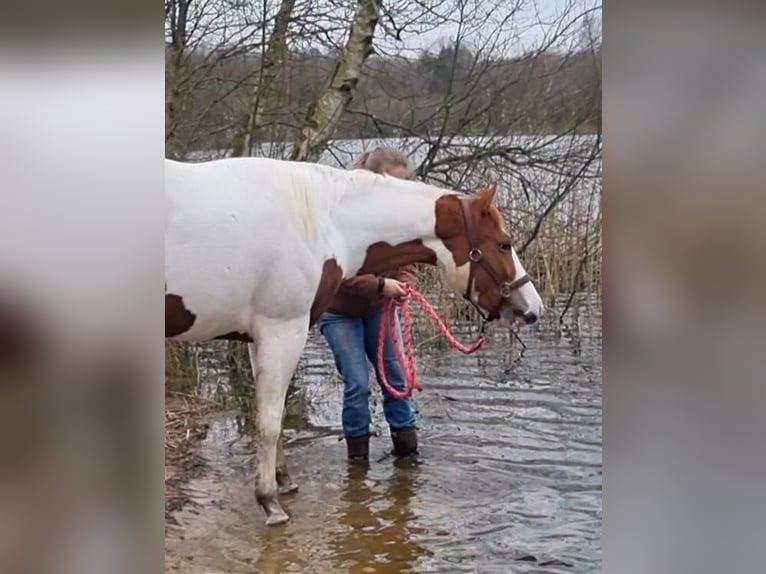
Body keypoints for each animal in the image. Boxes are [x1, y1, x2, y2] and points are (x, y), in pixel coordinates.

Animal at [165, 156, 544, 526]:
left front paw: (283, 480)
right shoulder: (282, 331)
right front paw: (270, 502)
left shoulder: (258, 337)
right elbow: (270, 422)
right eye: (504, 243)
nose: (533, 309)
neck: (322, 220)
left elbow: (274, 413)